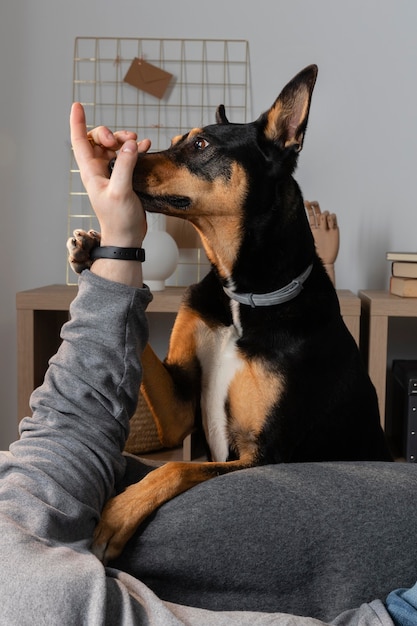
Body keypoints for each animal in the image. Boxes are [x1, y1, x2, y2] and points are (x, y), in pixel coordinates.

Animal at [67, 64, 390, 560]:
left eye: (201, 145)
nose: (111, 161)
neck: (245, 296)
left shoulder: (263, 454)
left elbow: (178, 469)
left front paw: (119, 511)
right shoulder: (180, 406)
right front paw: (89, 251)